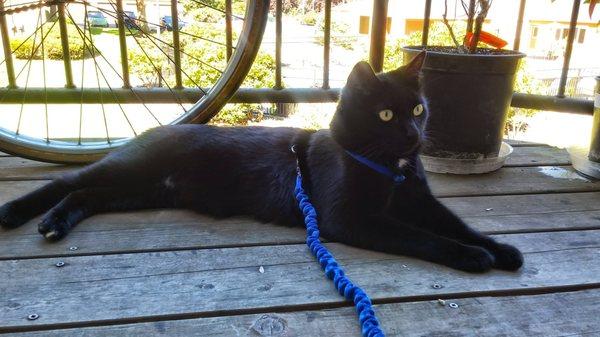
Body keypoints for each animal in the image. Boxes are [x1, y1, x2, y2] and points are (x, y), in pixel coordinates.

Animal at [0, 53, 520, 272]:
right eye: (386, 115)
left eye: (417, 109)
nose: (413, 136)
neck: (391, 169)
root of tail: (160, 127)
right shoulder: (350, 217)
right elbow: (422, 237)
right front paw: (472, 256)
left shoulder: (421, 202)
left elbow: (455, 224)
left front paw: (500, 249)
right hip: (130, 170)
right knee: (67, 181)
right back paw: (22, 214)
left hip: (141, 189)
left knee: (85, 193)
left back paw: (57, 222)